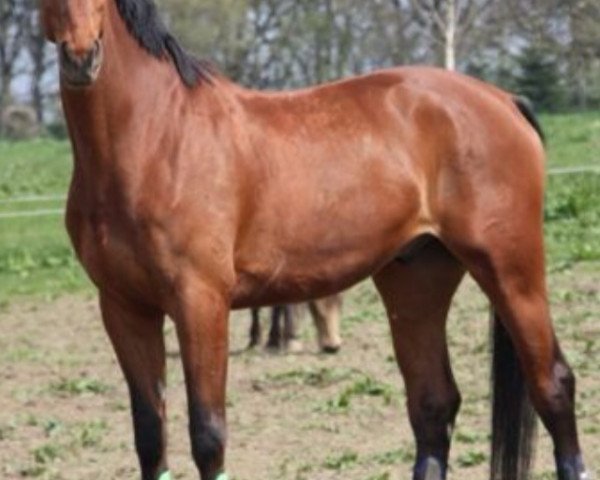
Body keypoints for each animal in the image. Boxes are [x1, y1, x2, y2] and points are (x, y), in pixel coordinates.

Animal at [41, 0, 592, 480]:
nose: (80, 57)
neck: (157, 138)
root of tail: (503, 100)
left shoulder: (200, 302)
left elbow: (208, 435)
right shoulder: (125, 309)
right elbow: (150, 435)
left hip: (510, 268)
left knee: (553, 385)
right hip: (416, 280)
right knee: (434, 404)